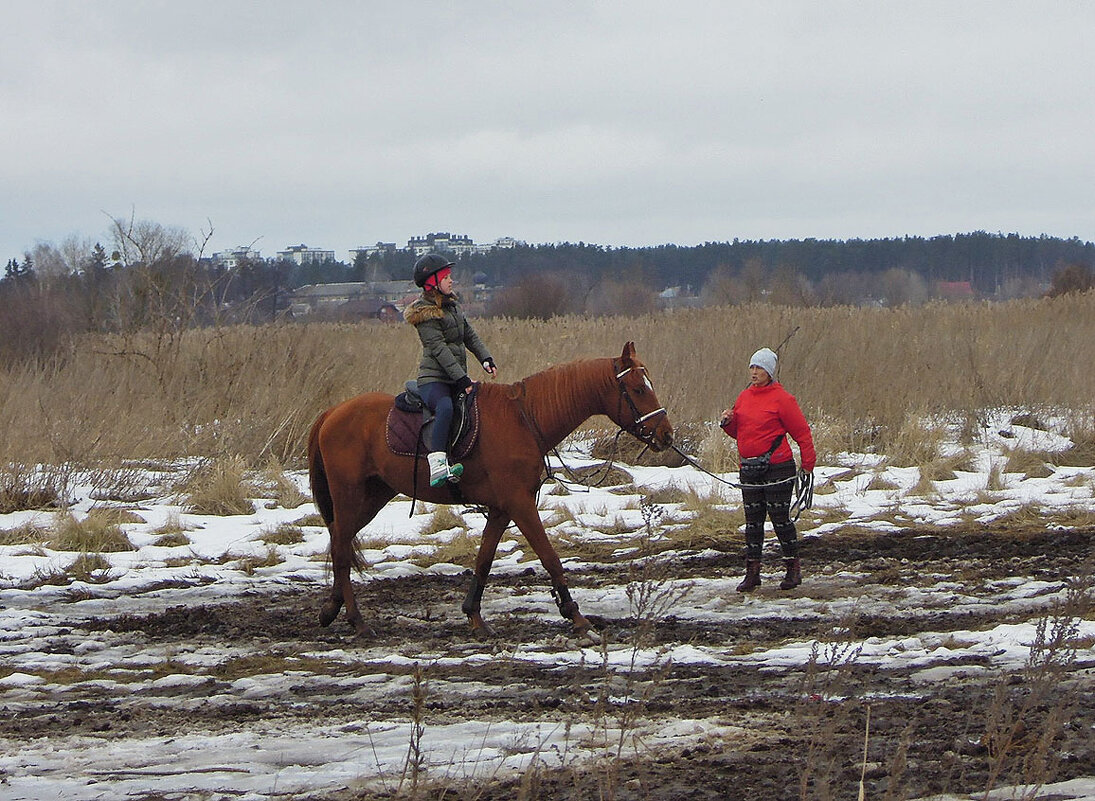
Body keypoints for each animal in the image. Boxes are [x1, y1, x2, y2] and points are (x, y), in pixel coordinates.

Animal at [304, 339, 670, 639]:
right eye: (638, 390)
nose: (666, 435)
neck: (525, 418)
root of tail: (332, 413)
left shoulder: (502, 508)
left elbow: (484, 559)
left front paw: (474, 616)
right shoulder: (520, 504)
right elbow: (550, 557)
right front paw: (576, 617)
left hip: (373, 496)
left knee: (341, 540)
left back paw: (332, 608)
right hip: (350, 495)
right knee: (341, 547)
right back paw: (357, 620)